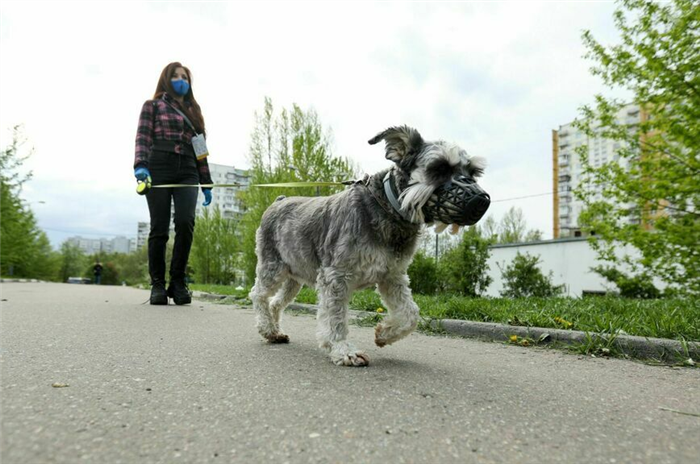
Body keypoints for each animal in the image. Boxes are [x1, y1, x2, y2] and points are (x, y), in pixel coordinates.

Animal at [250, 126, 486, 366]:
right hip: (272, 268)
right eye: (439, 167)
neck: (388, 208)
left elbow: (411, 314)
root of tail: (279, 200)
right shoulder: (336, 276)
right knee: (258, 295)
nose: (481, 201)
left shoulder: (393, 276)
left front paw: (384, 334)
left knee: (275, 302)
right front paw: (343, 350)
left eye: (473, 172)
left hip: (294, 278)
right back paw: (267, 328)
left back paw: (275, 332)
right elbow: (335, 317)